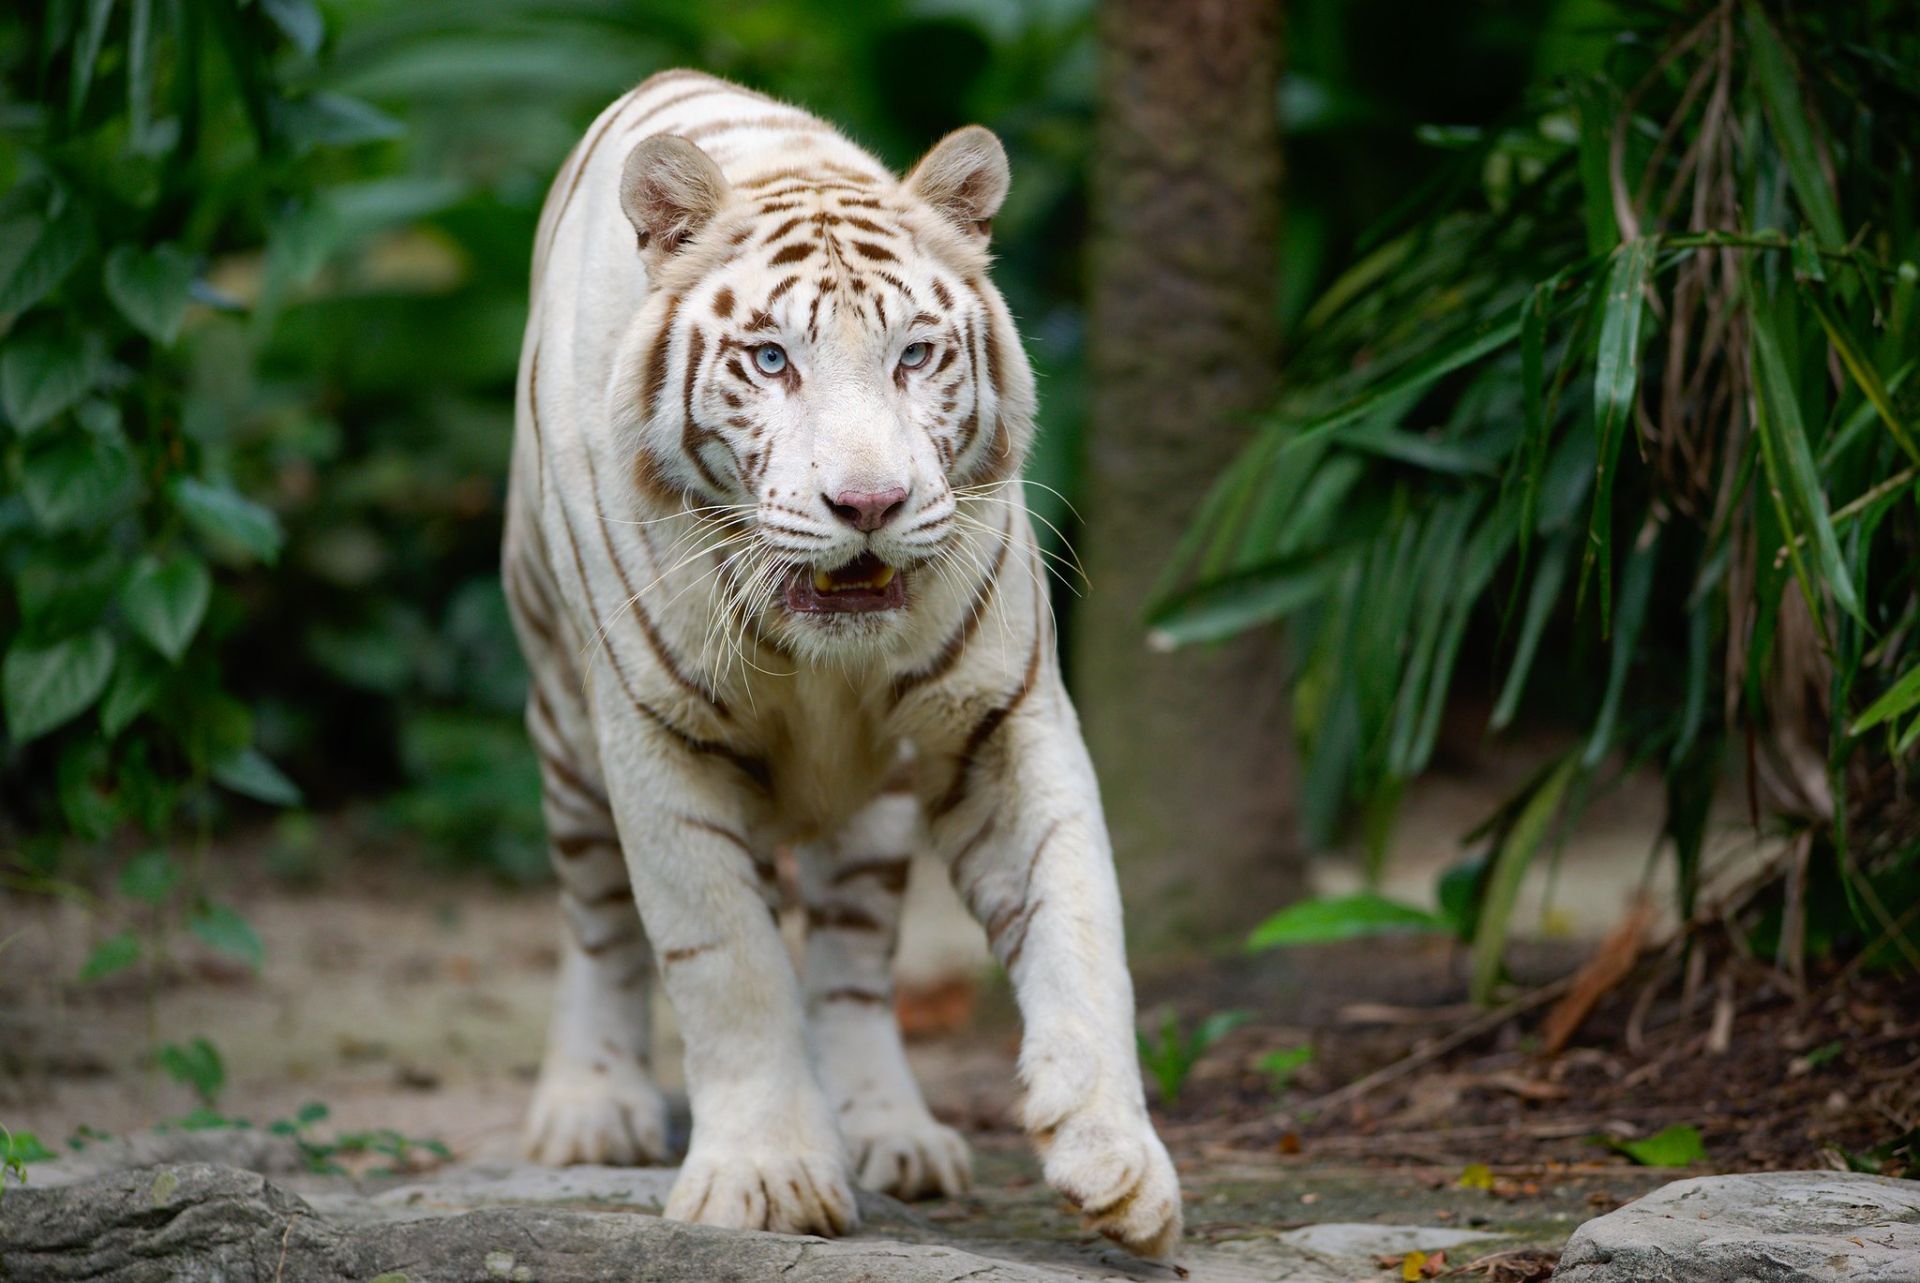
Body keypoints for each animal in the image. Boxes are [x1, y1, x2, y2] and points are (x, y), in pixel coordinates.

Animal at [500, 69, 1181, 1257]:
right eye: (772, 358)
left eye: (916, 354)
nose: (869, 504)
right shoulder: (654, 737)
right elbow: (726, 959)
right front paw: (767, 1175)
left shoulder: (1003, 718)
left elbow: (1079, 915)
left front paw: (1117, 1159)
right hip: (562, 717)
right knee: (594, 915)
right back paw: (591, 1106)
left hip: (874, 808)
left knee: (856, 961)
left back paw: (889, 1130)